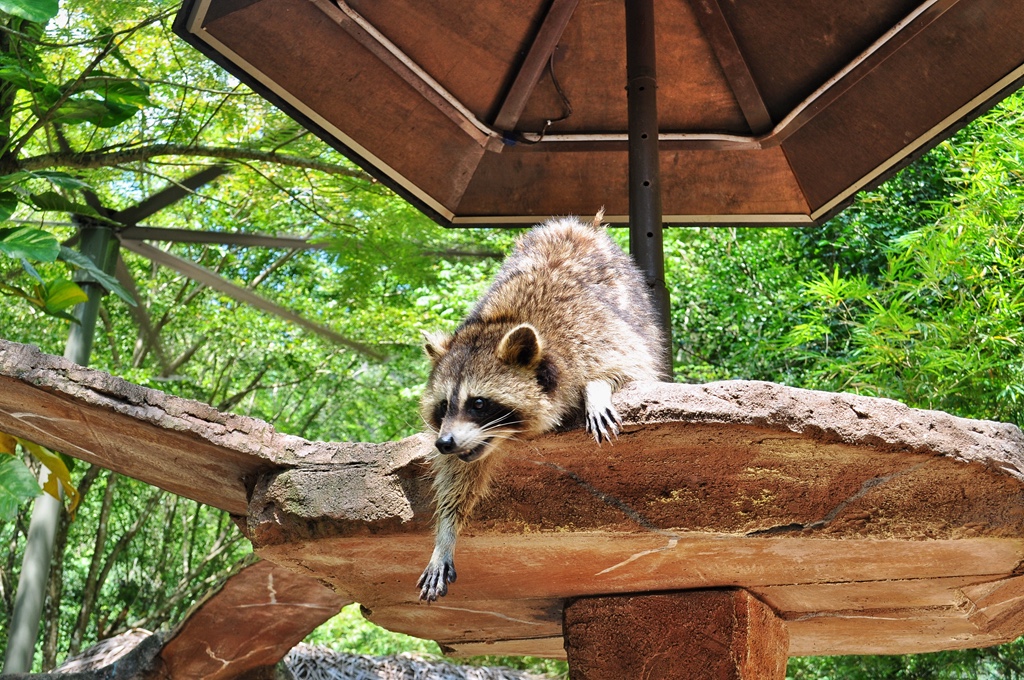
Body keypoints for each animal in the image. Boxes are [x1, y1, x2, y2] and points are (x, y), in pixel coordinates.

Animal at [415, 213, 663, 602]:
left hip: (635, 298)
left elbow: (629, 365)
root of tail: (576, 223)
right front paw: (446, 532)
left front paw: (596, 389)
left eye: (479, 403)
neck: (503, 320)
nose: (444, 443)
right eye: (443, 406)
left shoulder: (594, 333)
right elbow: (458, 476)